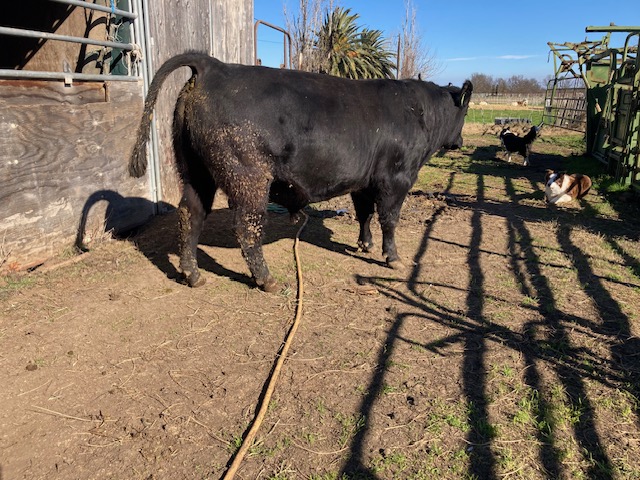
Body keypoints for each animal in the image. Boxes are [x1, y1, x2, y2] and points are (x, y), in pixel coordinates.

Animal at [129, 52, 470, 292]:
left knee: (191, 214)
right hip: (248, 176)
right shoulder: (396, 178)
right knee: (247, 227)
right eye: (464, 113)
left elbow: (364, 213)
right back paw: (266, 280)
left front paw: (365, 243)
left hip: (195, 172)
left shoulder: (364, 181)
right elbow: (389, 218)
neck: (419, 112)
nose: (460, 142)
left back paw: (193, 275)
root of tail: (214, 66)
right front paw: (393, 257)